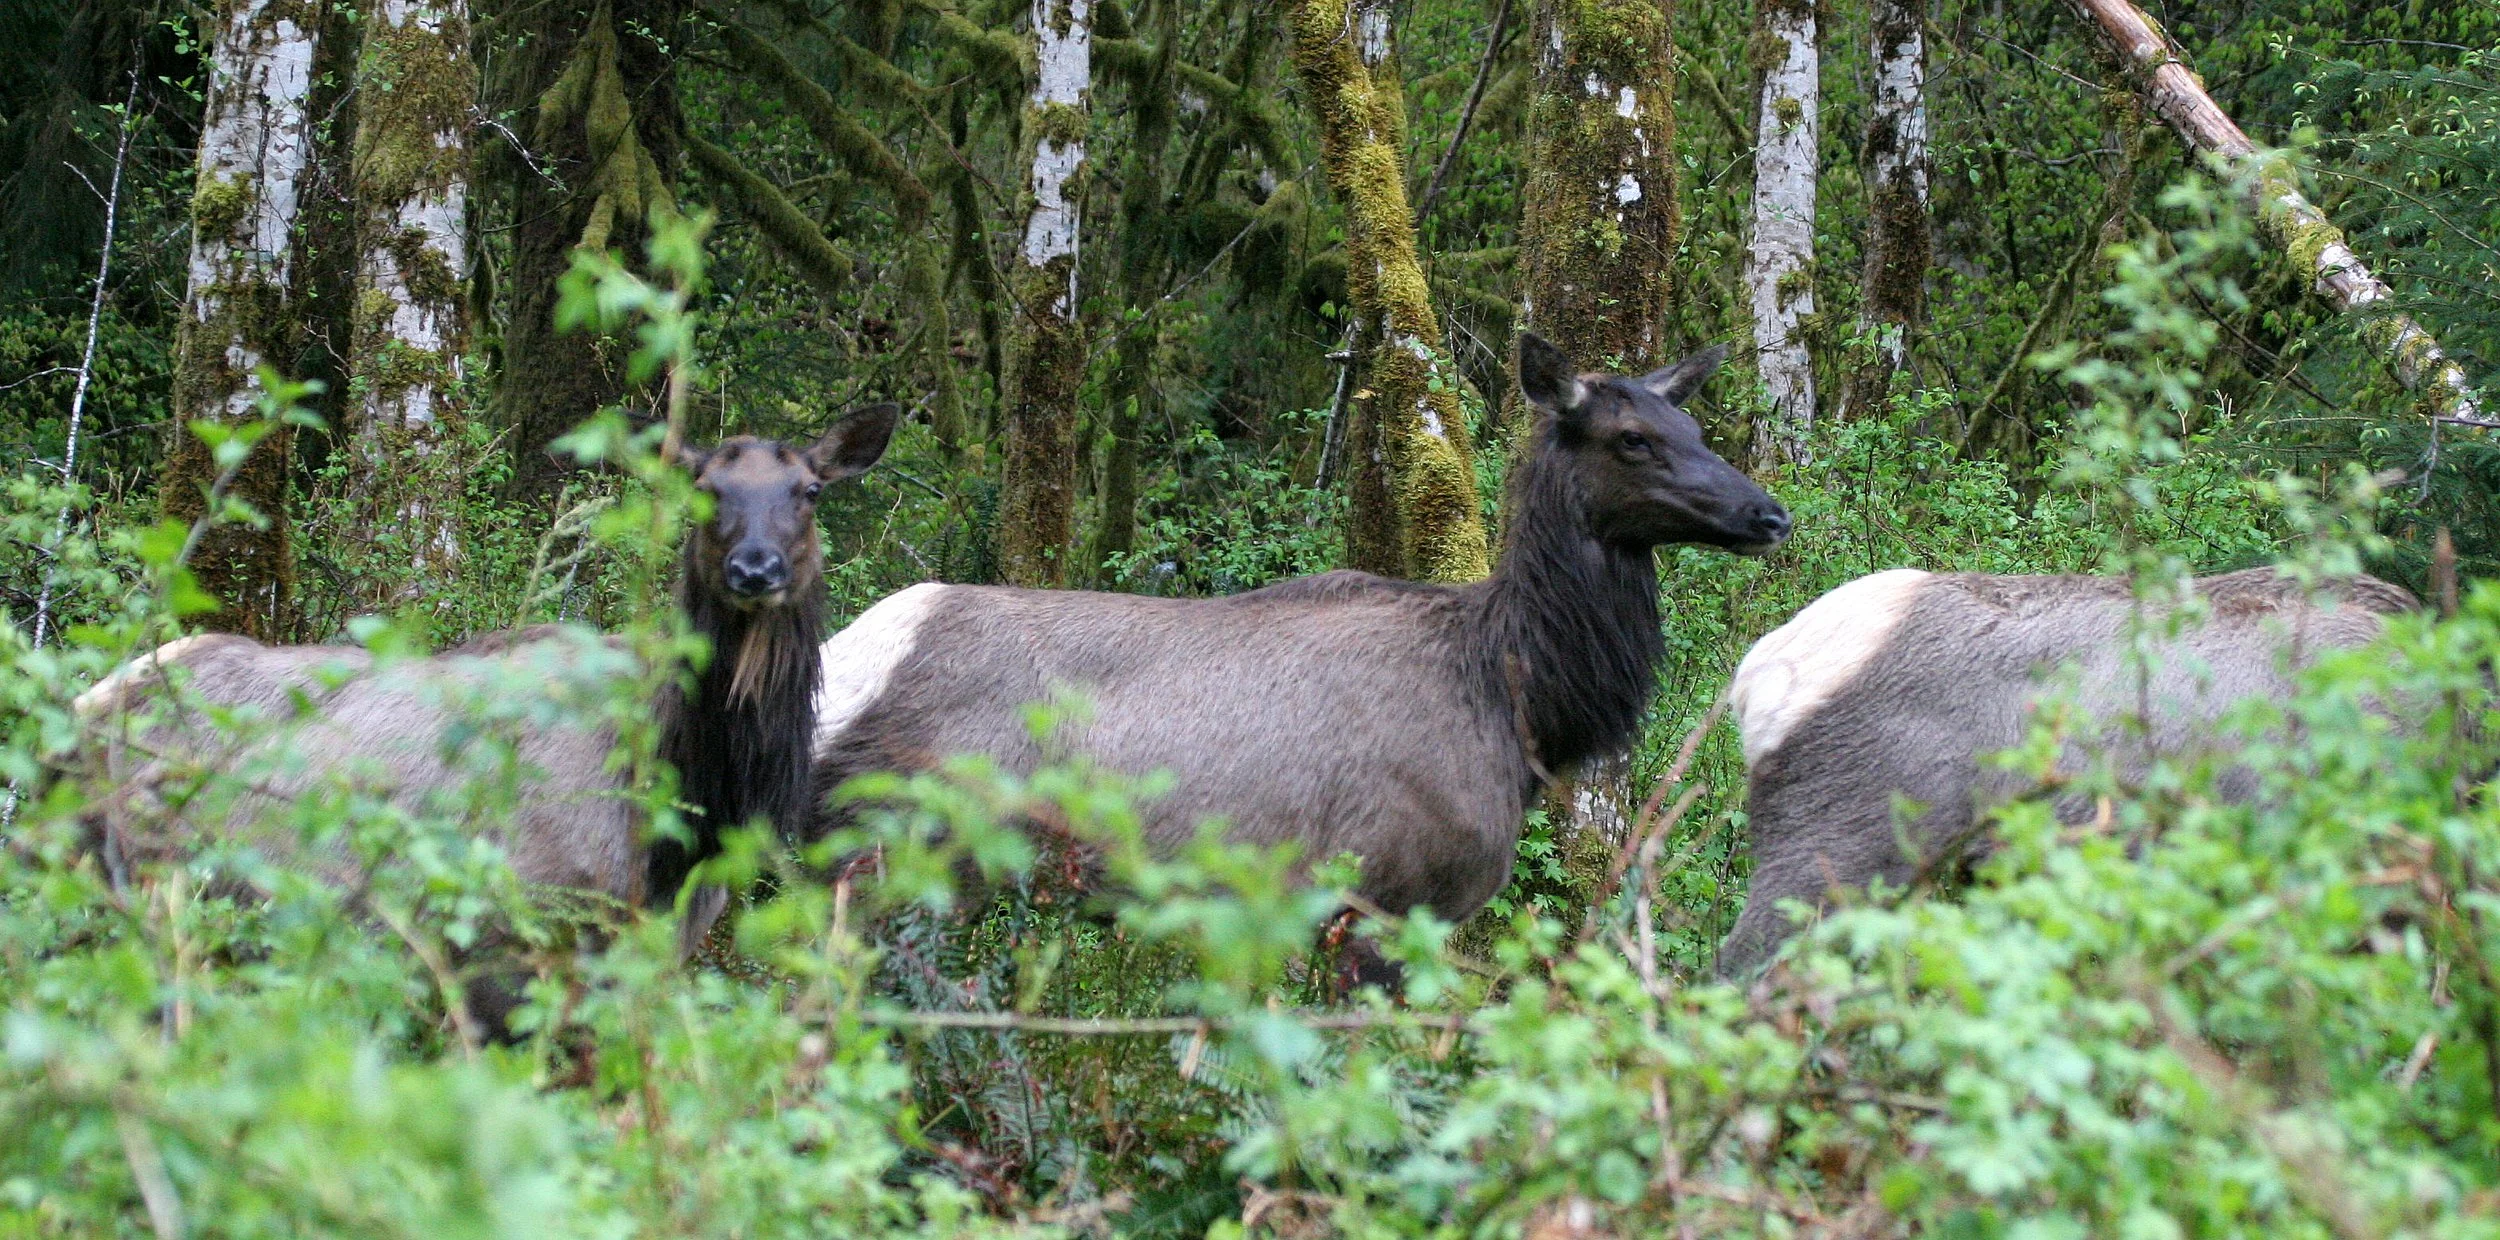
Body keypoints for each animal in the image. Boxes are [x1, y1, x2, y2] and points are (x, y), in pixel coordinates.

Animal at [70, 405, 899, 1025]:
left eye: (809, 490)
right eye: (703, 487)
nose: (755, 568)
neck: (684, 813)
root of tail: (89, 696)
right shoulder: (505, 946)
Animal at [806, 335, 1790, 954]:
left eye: (1695, 430)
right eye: (1633, 439)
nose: (1770, 514)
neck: (1518, 703)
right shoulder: (1389, 894)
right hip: (898, 856)